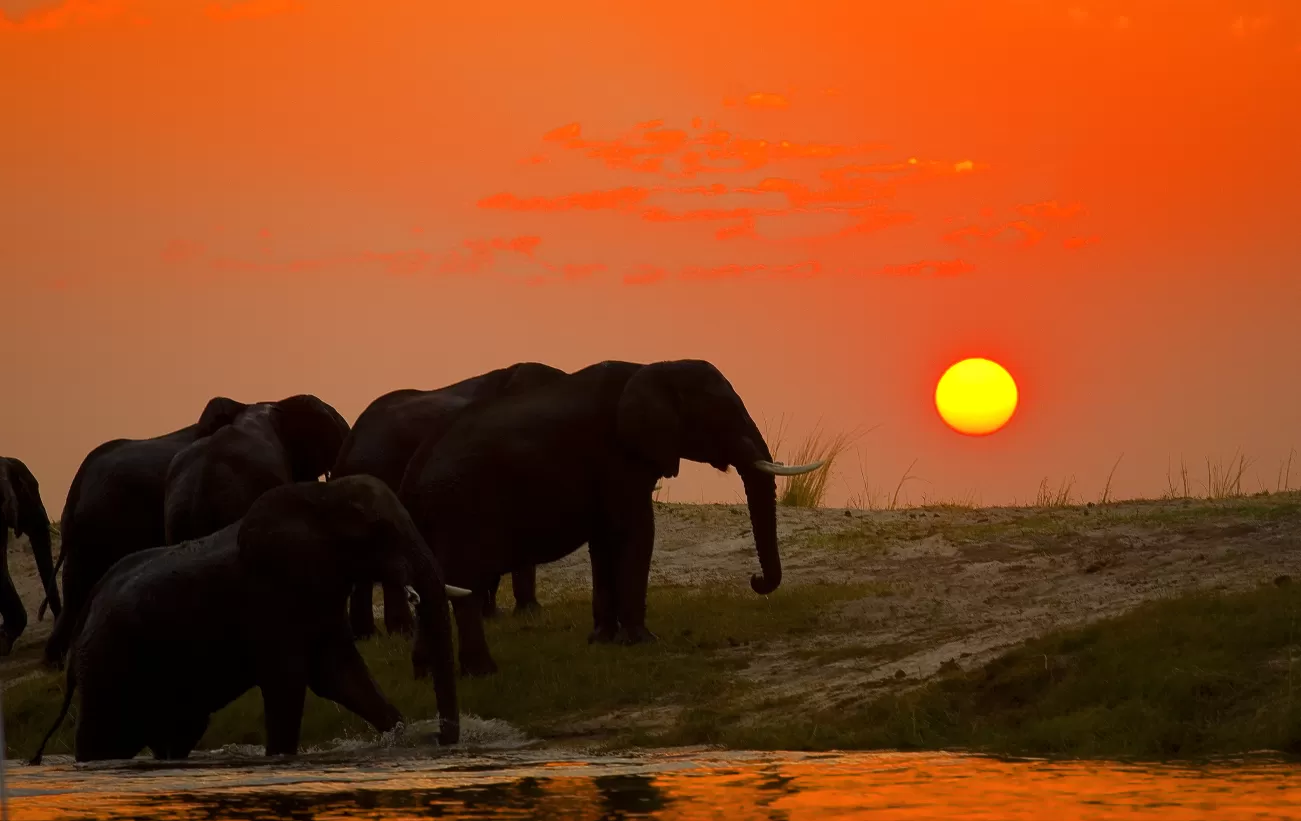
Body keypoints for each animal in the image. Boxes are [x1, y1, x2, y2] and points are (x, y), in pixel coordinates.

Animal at [29, 476, 473, 765]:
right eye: (379, 531)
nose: (442, 740)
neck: (319, 496)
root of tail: (87, 608)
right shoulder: (270, 595)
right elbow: (290, 682)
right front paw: (279, 761)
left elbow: (340, 676)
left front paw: (399, 734)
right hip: (109, 665)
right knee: (105, 738)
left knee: (176, 731)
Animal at [395, 359, 822, 676]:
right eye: (725, 413)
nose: (755, 581)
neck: (654, 367)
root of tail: (410, 478)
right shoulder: (617, 457)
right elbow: (637, 531)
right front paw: (643, 642)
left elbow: (603, 541)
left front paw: (602, 640)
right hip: (460, 509)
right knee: (463, 584)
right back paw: (482, 672)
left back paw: (426, 673)